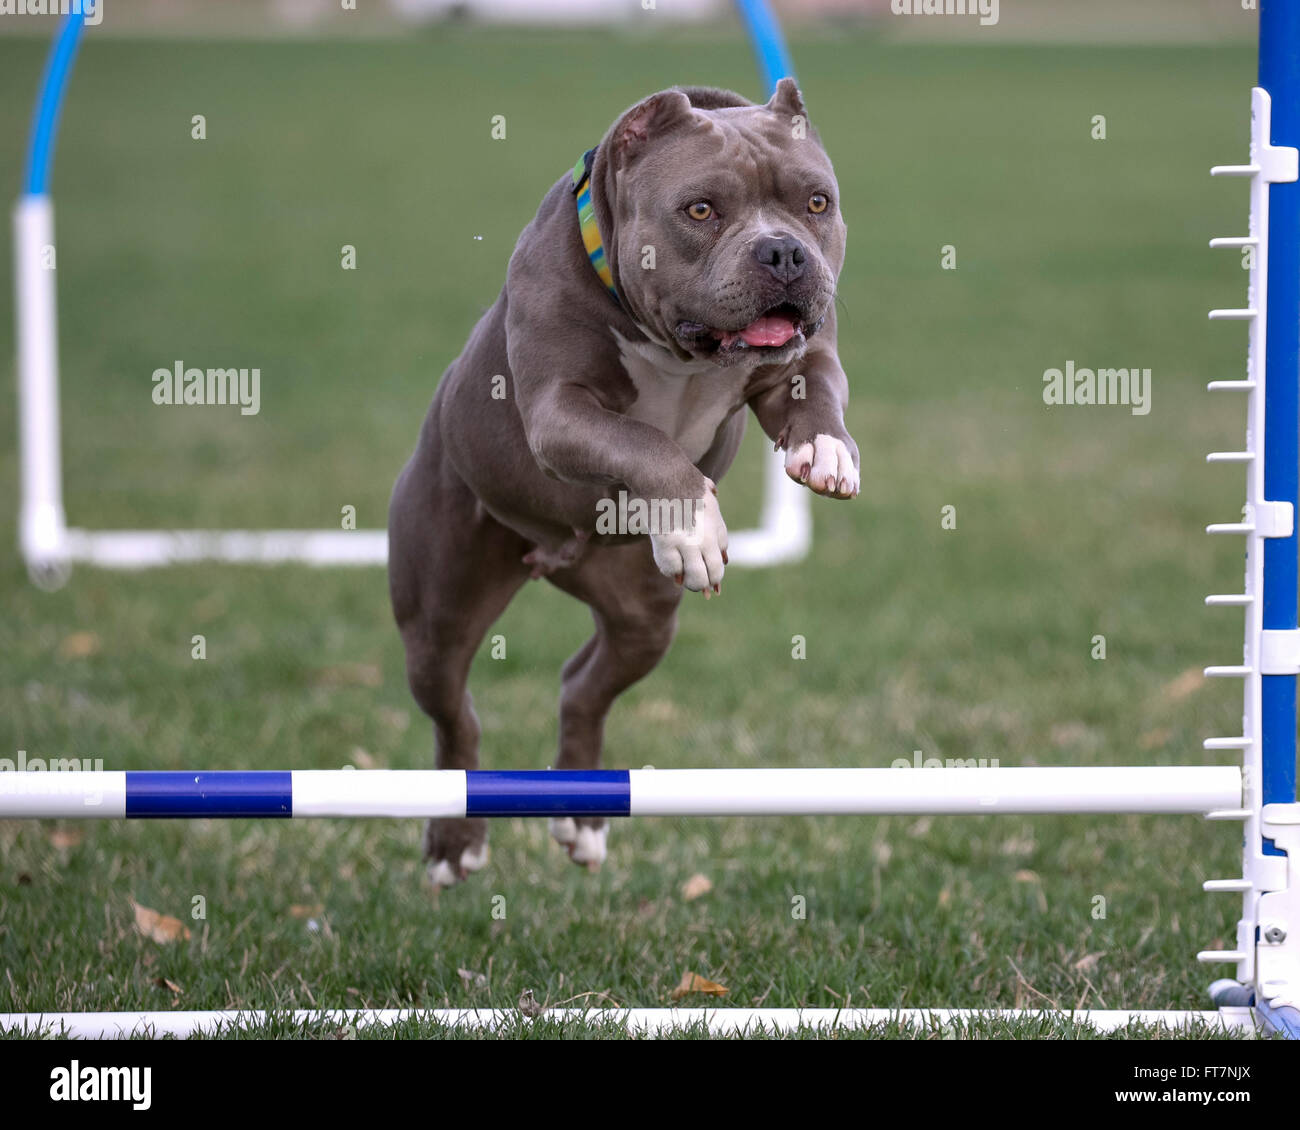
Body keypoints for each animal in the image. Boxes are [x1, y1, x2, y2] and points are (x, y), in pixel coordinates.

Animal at [384, 81, 857, 889]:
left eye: (817, 203)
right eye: (700, 210)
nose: (784, 250)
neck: (681, 349)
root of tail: (554, 555)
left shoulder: (805, 355)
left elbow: (819, 386)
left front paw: (825, 451)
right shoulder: (558, 412)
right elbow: (644, 441)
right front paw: (695, 523)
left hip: (642, 616)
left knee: (583, 686)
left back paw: (580, 816)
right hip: (437, 612)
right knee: (455, 716)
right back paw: (454, 842)